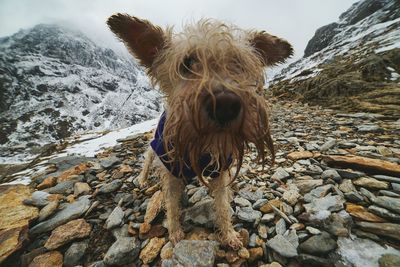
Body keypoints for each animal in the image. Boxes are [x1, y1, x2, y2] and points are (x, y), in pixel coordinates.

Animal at [107, 14, 294, 249]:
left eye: (238, 64)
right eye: (186, 63)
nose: (225, 105)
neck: (201, 145)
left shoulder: (220, 170)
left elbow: (222, 206)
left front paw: (229, 235)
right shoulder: (169, 171)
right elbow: (172, 205)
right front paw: (175, 233)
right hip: (154, 146)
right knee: (147, 157)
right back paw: (142, 179)